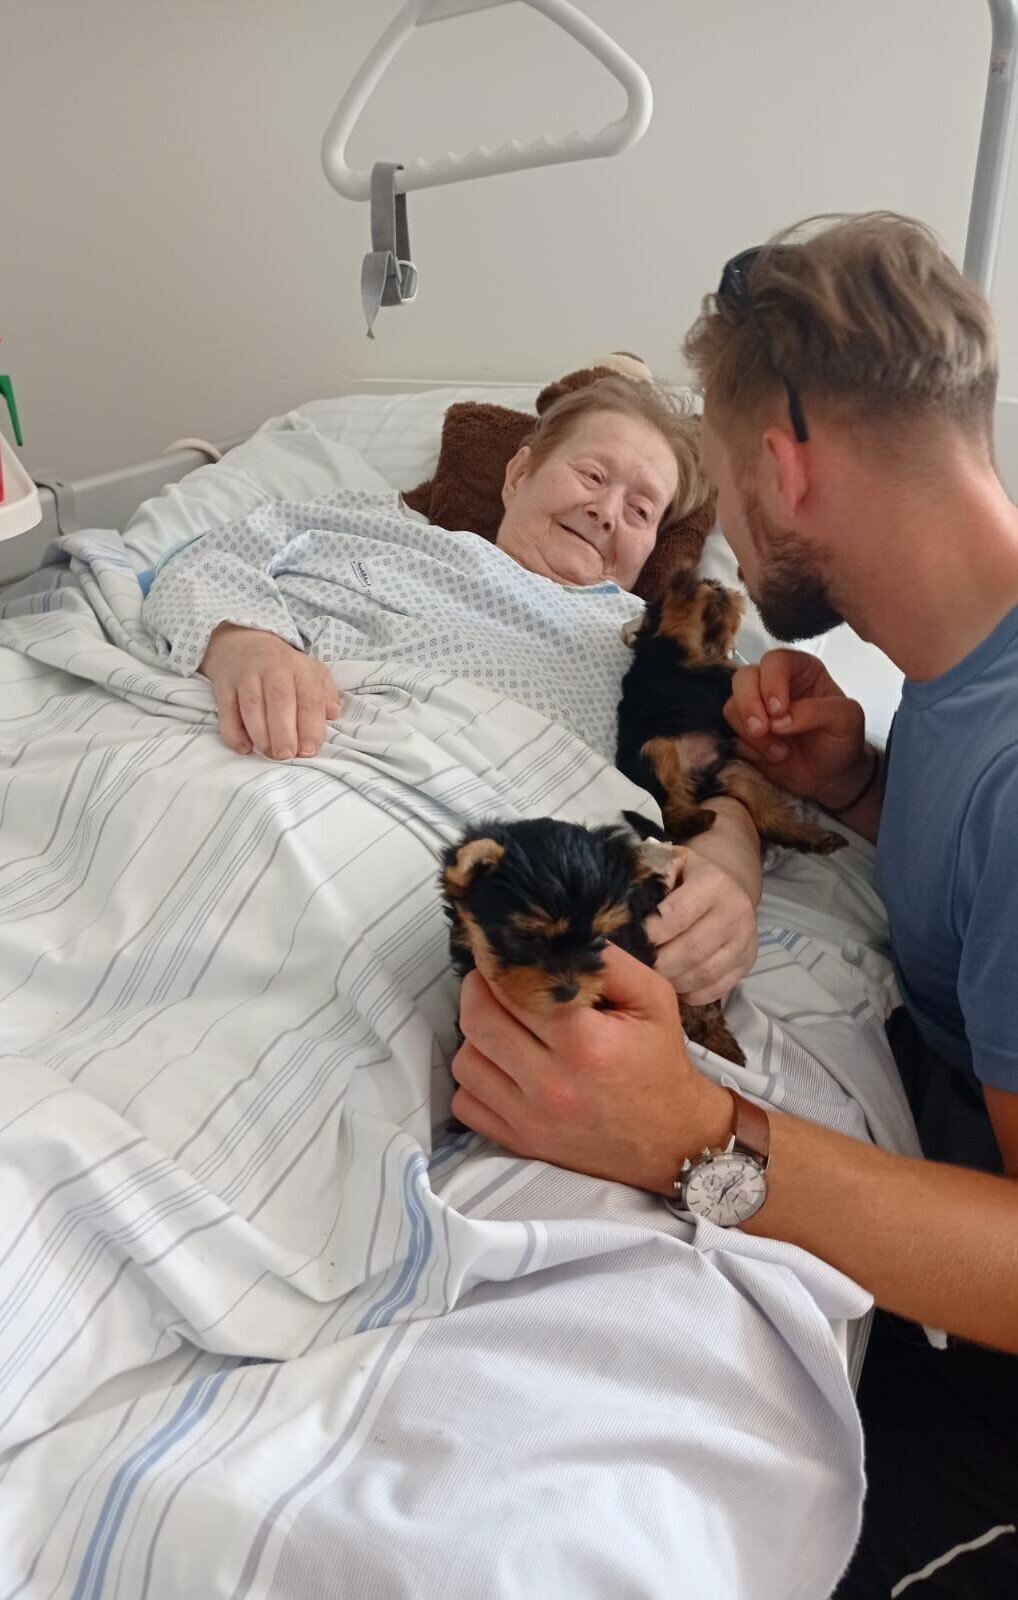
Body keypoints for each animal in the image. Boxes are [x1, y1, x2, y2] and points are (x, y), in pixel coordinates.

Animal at [616, 568, 847, 855]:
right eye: (689, 589)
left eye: (712, 584)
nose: (719, 588)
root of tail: (700, 782)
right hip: (656, 753)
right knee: (667, 809)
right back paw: (694, 819)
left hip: (734, 775)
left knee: (767, 816)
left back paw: (813, 836)